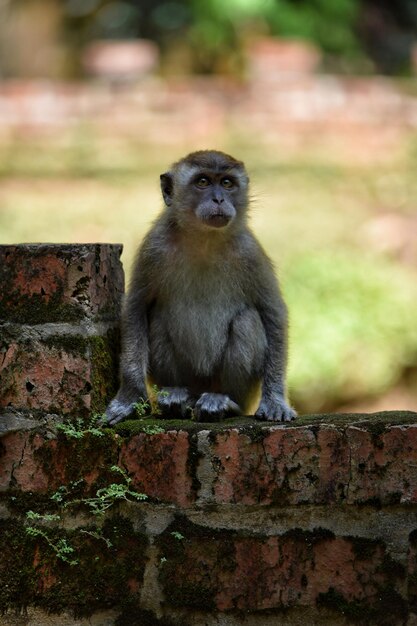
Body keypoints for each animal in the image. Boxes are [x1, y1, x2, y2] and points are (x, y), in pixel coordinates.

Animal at [107, 150, 296, 424]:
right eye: (203, 182)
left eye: (227, 183)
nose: (219, 198)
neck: (204, 238)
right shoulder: (154, 247)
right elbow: (136, 308)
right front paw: (130, 398)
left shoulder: (249, 252)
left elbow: (273, 313)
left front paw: (275, 400)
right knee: (158, 318)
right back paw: (178, 398)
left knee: (246, 320)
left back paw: (224, 402)